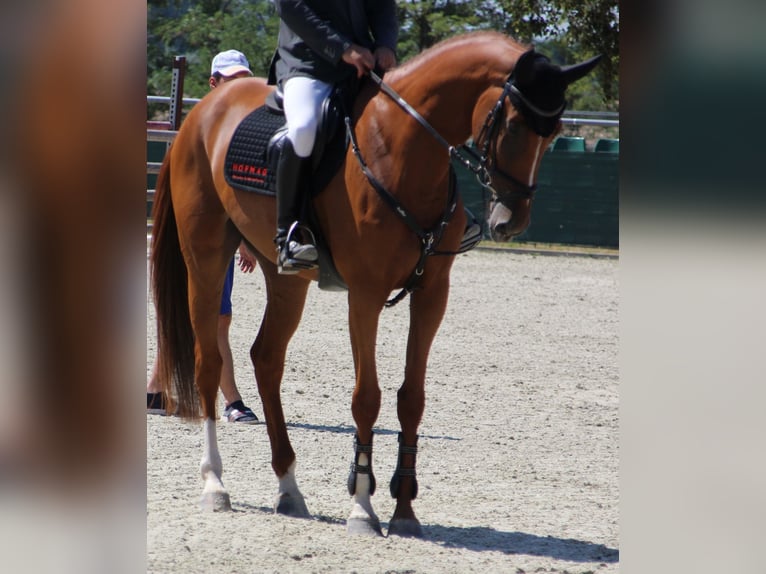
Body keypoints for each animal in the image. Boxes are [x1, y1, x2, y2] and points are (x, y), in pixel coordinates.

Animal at [152, 30, 600, 536]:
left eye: (555, 134)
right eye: (516, 127)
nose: (511, 221)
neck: (404, 148)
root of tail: (201, 113)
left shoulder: (432, 294)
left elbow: (412, 398)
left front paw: (404, 509)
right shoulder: (365, 294)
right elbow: (367, 397)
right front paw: (362, 507)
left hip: (285, 278)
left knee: (266, 359)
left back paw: (289, 488)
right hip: (206, 258)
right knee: (208, 361)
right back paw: (215, 484)